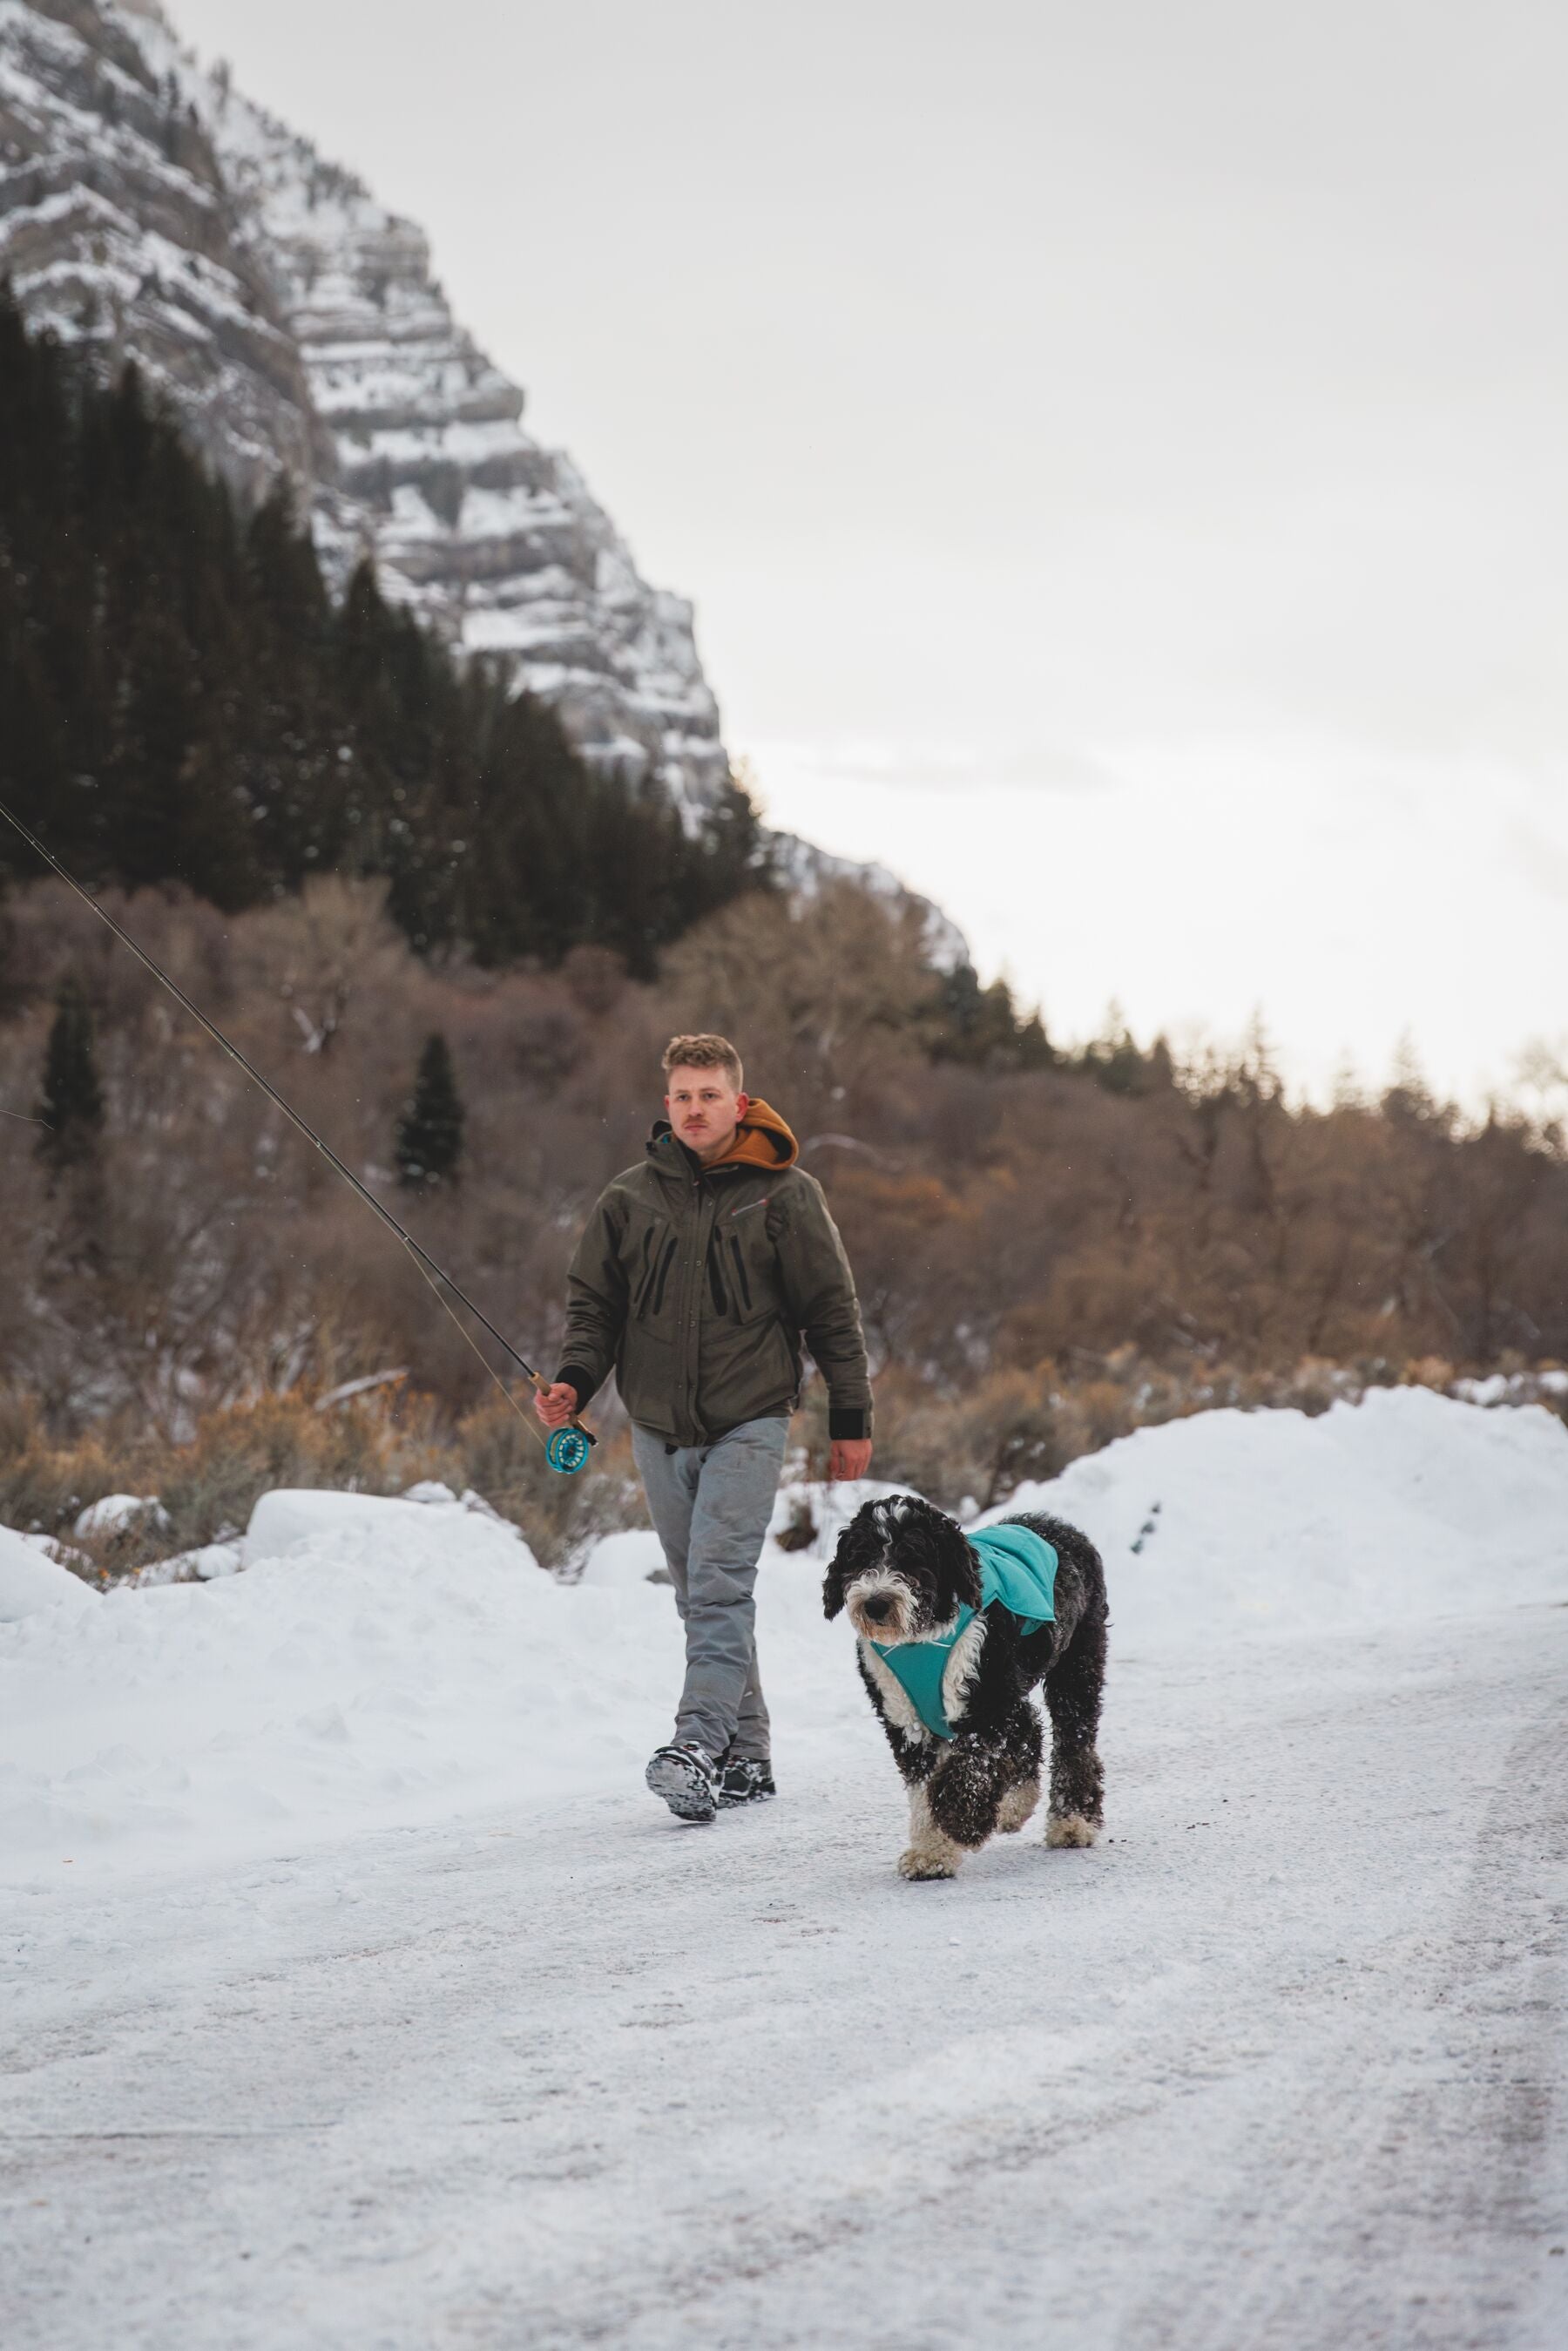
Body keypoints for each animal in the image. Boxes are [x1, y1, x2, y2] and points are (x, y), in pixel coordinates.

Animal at [827, 1494, 1109, 1880]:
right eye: (860, 1556)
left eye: (913, 1557)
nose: (876, 1603)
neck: (922, 1638)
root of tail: (1060, 1527)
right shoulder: (907, 1721)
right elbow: (924, 1790)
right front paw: (930, 1853)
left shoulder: (987, 1707)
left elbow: (971, 1768)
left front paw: (964, 1824)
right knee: (1031, 1732)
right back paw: (1016, 1806)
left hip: (1076, 1666)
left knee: (1073, 1741)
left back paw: (1072, 1821)